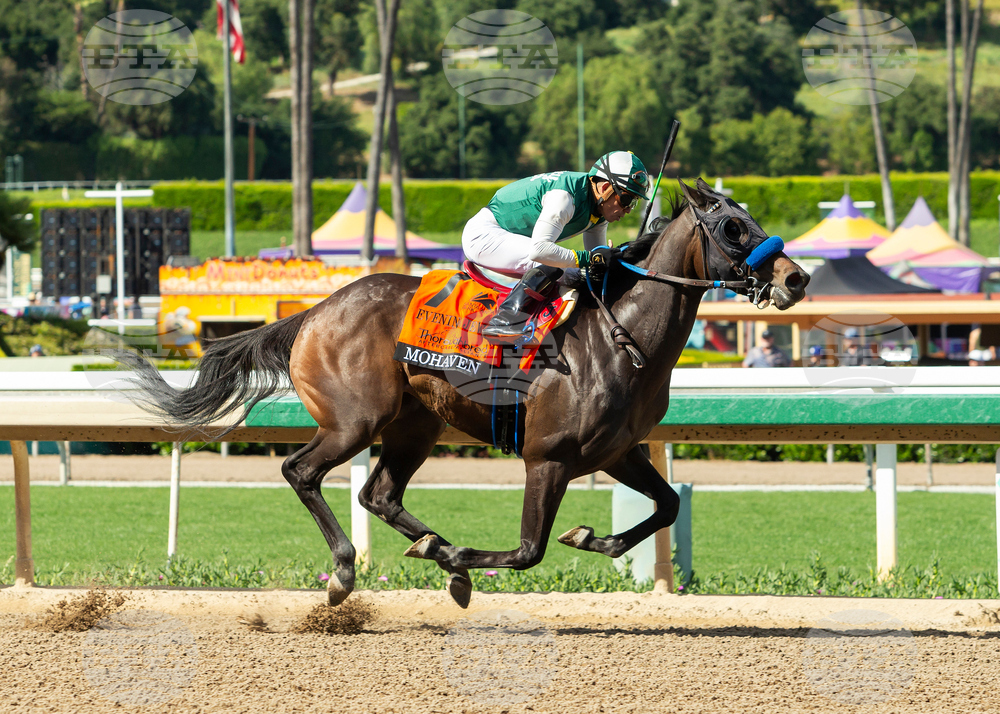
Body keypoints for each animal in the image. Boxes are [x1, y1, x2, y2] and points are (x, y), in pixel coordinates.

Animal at [121, 178, 809, 609]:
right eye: (732, 226)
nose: (796, 278)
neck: (621, 337)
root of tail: (316, 309)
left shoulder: (617, 452)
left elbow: (665, 506)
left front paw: (590, 539)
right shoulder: (548, 456)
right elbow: (529, 551)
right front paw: (467, 560)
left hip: (415, 426)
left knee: (379, 493)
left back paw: (434, 547)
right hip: (353, 421)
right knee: (302, 472)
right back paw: (346, 569)